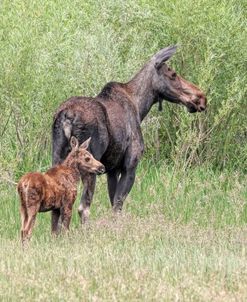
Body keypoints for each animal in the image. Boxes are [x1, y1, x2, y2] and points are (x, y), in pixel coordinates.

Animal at [52, 45, 206, 224]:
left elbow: (113, 202)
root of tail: (67, 117)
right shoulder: (130, 166)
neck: (141, 106)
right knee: (84, 208)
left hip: (58, 158)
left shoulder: (112, 170)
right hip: (89, 164)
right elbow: (117, 206)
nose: (201, 97)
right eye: (173, 74)